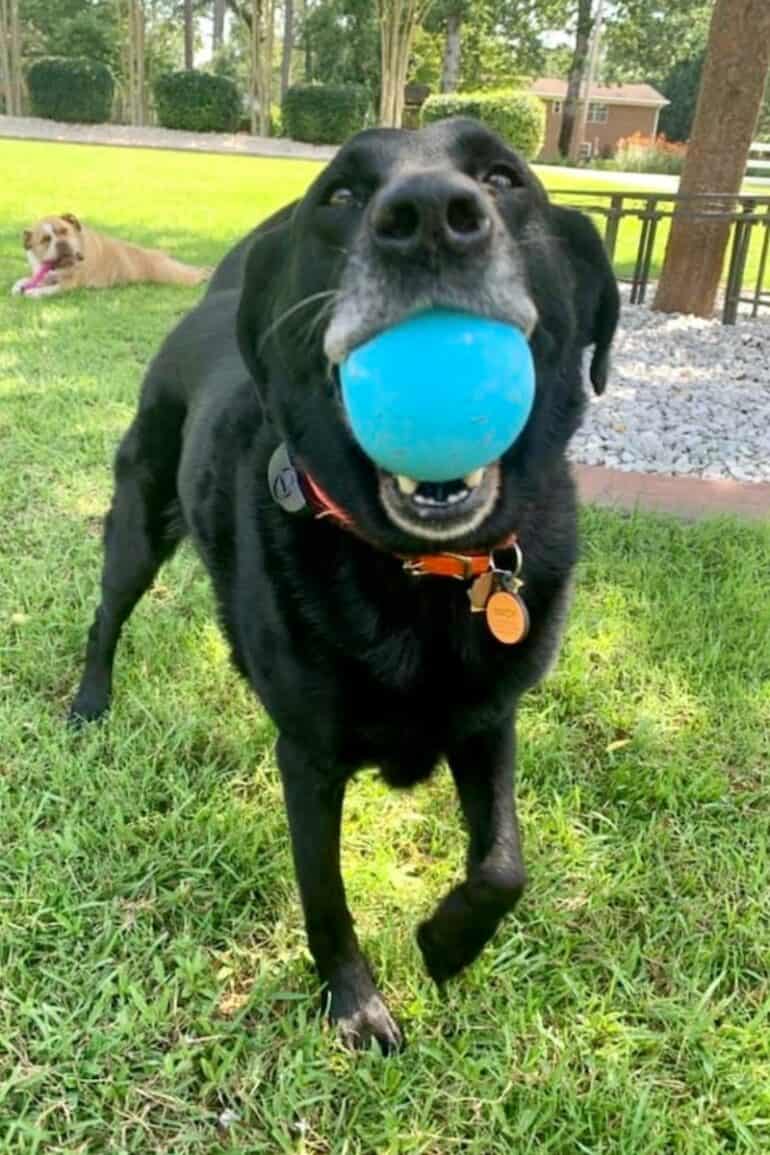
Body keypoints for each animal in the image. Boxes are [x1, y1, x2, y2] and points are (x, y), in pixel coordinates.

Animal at [12, 214, 211, 297]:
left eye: (64, 231)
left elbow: (46, 290)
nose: (61, 243)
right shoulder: (46, 274)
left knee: (197, 274)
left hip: (175, 275)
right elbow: (27, 280)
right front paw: (19, 286)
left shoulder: (69, 284)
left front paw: (32, 292)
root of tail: (159, 254)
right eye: (45, 240)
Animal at [72, 119, 618, 1057]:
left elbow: (505, 861)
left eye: (503, 177)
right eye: (340, 194)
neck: (419, 570)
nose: (430, 215)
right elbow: (325, 895)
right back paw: (89, 699)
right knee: (108, 612)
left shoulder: (490, 719)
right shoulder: (310, 759)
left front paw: (445, 942)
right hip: (139, 521)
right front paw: (356, 1003)